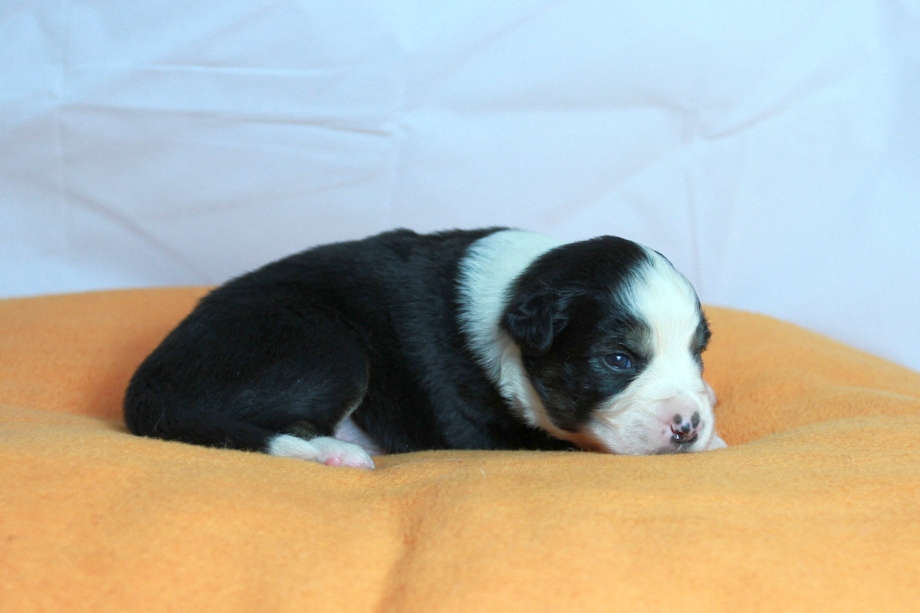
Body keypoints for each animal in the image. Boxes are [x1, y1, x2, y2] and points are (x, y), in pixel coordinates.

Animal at [124, 228, 726, 469]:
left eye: (698, 352)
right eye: (618, 360)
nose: (688, 426)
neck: (519, 288)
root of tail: (145, 381)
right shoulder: (478, 430)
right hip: (328, 349)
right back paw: (338, 453)